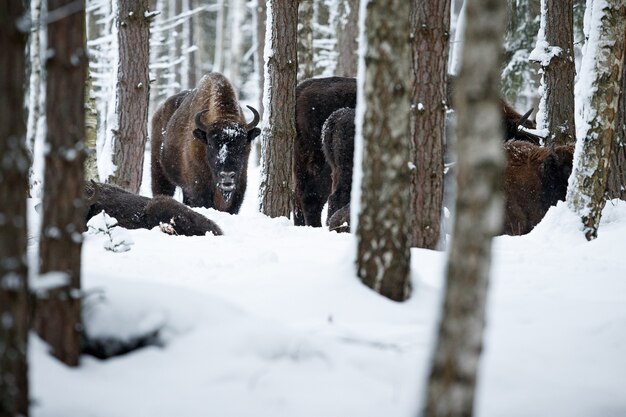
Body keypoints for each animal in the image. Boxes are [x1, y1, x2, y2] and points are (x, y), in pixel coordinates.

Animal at [150, 72, 260, 213]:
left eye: (242, 145)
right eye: (211, 144)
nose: (227, 177)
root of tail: (158, 113)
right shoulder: (199, 190)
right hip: (159, 171)